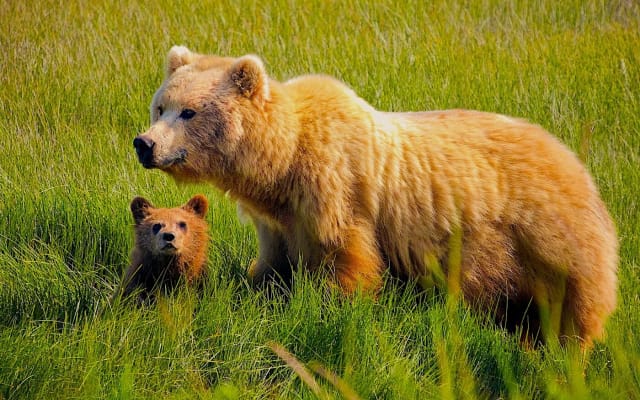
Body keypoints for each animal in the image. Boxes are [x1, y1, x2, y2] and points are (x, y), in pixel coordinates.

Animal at [133, 46, 618, 346]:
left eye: (189, 112)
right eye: (160, 106)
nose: (145, 143)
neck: (282, 162)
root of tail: (572, 157)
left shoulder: (335, 190)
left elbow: (347, 258)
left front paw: (335, 309)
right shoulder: (279, 219)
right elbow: (273, 265)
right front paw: (259, 290)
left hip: (545, 234)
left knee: (575, 301)